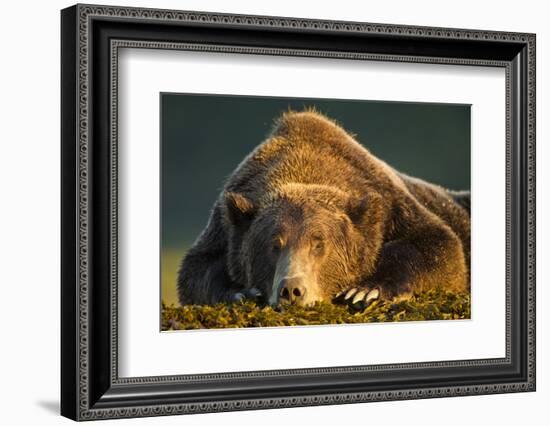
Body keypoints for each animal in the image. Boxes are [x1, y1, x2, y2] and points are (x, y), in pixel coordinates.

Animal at [177, 110, 470, 310]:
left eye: (319, 244)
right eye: (274, 244)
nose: (292, 290)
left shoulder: (391, 204)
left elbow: (440, 248)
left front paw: (365, 290)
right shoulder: (225, 225)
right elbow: (196, 270)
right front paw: (242, 293)